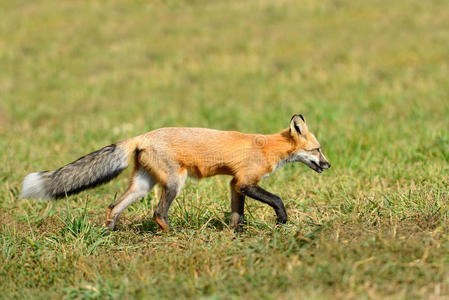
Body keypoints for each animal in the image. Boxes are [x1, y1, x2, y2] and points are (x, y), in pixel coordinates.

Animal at [20, 114, 328, 230]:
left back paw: (109, 233)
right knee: (157, 213)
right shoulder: (245, 181)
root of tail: (142, 135)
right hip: (174, 182)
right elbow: (277, 199)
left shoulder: (234, 184)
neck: (269, 147)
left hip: (142, 185)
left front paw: (236, 233)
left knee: (113, 206)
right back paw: (174, 233)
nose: (328, 165)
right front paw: (282, 220)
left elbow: (236, 213)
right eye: (317, 150)